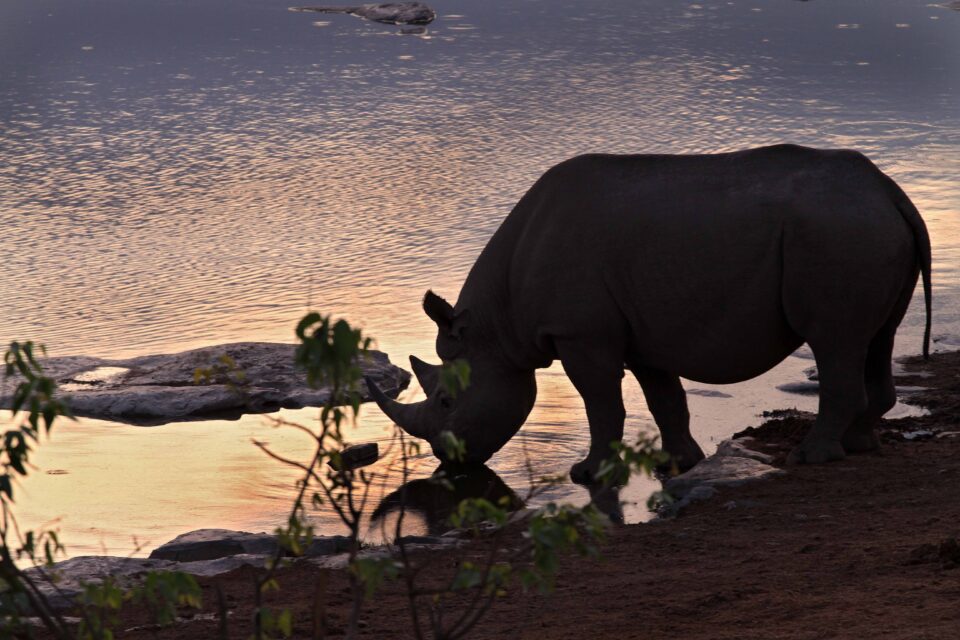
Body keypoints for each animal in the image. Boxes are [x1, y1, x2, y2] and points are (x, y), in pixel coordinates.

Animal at [367, 144, 932, 483]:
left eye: (445, 401)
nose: (448, 464)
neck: (495, 328)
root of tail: (891, 192)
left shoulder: (581, 333)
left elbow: (601, 402)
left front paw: (588, 473)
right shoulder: (640, 330)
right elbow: (665, 398)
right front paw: (678, 463)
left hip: (839, 232)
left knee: (835, 340)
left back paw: (810, 457)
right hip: (860, 229)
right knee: (875, 337)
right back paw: (860, 445)